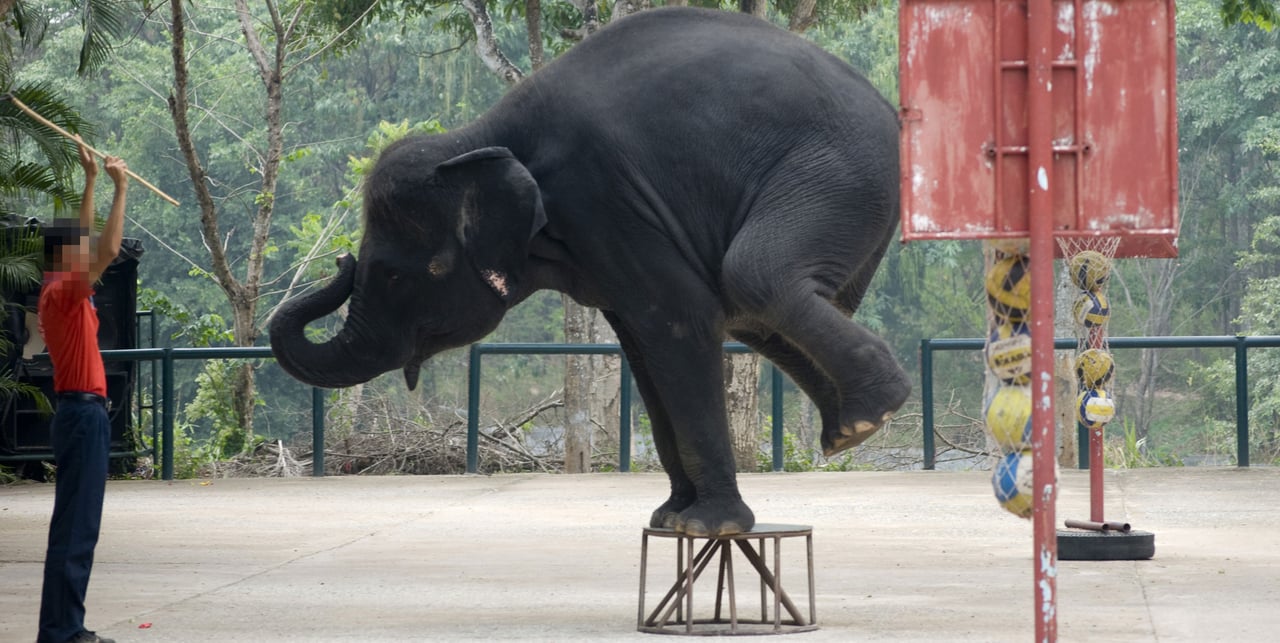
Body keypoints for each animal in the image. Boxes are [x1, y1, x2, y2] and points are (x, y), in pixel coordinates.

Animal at [270, 6, 911, 537]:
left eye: (393, 276)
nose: (339, 259)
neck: (479, 138)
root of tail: (890, 109)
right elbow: (644, 347)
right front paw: (669, 517)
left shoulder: (606, 197)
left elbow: (679, 322)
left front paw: (707, 527)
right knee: (753, 311)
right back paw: (847, 428)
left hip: (837, 174)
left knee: (753, 275)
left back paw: (871, 416)